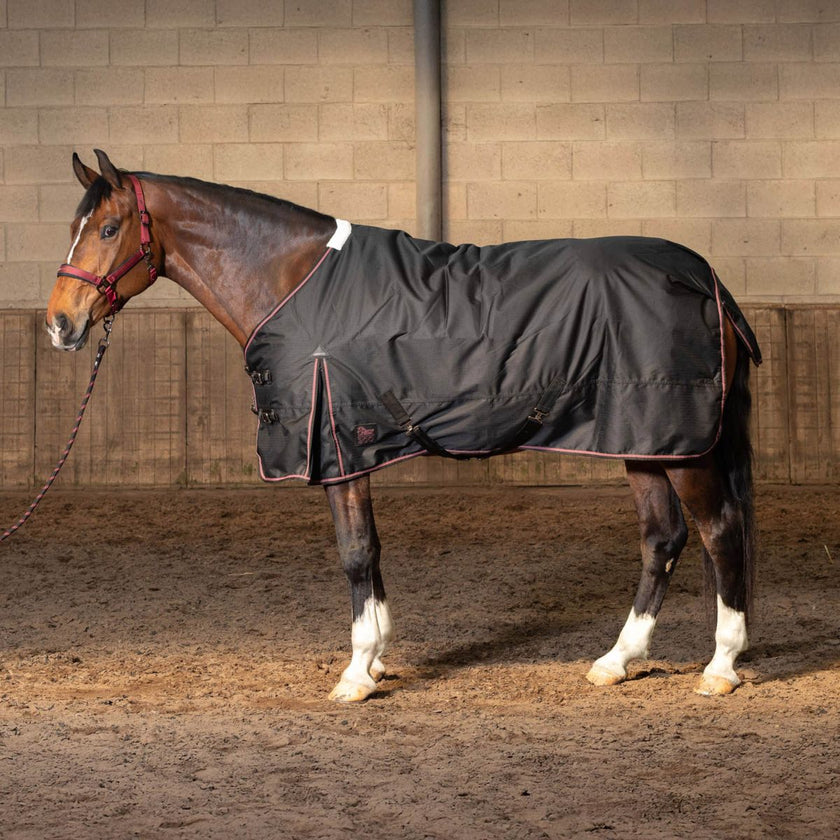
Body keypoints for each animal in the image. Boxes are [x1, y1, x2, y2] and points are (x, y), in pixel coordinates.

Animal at [47, 149, 760, 702]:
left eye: (108, 228)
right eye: (75, 226)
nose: (60, 322)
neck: (293, 282)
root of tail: (706, 279)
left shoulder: (338, 446)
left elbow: (356, 552)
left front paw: (356, 673)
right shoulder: (354, 448)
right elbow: (373, 551)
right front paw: (378, 659)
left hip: (682, 447)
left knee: (719, 530)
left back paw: (721, 666)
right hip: (642, 440)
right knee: (662, 539)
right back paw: (617, 661)